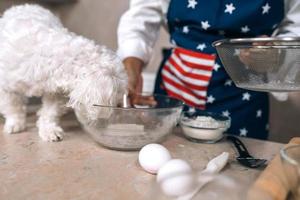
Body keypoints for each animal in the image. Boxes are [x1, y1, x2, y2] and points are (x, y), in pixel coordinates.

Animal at [0, 5, 127, 142]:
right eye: (117, 94)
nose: (119, 106)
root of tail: (24, 6)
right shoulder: (5, 85)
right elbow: (13, 106)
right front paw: (15, 123)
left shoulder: (54, 91)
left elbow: (50, 112)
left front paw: (49, 130)